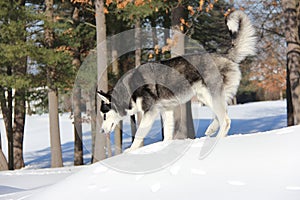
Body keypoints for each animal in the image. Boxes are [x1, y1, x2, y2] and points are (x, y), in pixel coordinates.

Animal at [97, 10, 256, 152]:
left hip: (211, 95)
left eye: (104, 115)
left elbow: (139, 134)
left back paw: (216, 141)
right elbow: (167, 134)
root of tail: (224, 55)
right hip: (205, 96)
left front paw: (131, 150)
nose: (101, 131)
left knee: (226, 120)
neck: (128, 90)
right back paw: (211, 130)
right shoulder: (166, 110)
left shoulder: (149, 112)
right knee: (223, 113)